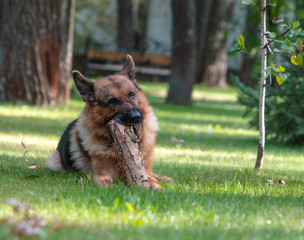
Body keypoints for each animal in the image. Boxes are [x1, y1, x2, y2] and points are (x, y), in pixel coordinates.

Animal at [47, 55, 171, 188]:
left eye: (131, 94)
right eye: (113, 101)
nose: (135, 117)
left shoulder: (145, 172)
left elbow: (153, 181)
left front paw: (158, 186)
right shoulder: (101, 175)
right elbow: (108, 184)